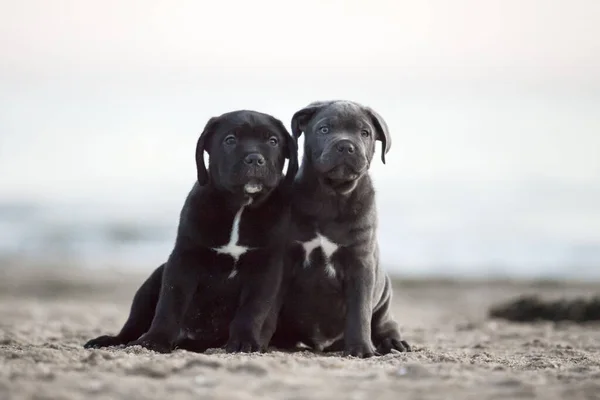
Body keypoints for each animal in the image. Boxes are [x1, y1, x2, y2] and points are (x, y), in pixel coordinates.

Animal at [83, 109, 298, 354]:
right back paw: (109, 341)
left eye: (273, 141)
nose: (254, 158)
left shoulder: (265, 268)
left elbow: (253, 308)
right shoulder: (184, 259)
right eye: (230, 140)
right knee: (132, 326)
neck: (240, 207)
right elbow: (170, 303)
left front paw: (245, 341)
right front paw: (154, 340)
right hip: (152, 281)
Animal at [272, 100, 412, 360]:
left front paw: (361, 349)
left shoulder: (360, 263)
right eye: (324, 129)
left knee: (384, 323)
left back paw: (393, 343)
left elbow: (360, 312)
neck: (332, 195)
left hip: (384, 296)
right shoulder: (285, 258)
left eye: (365, 133)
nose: (346, 146)